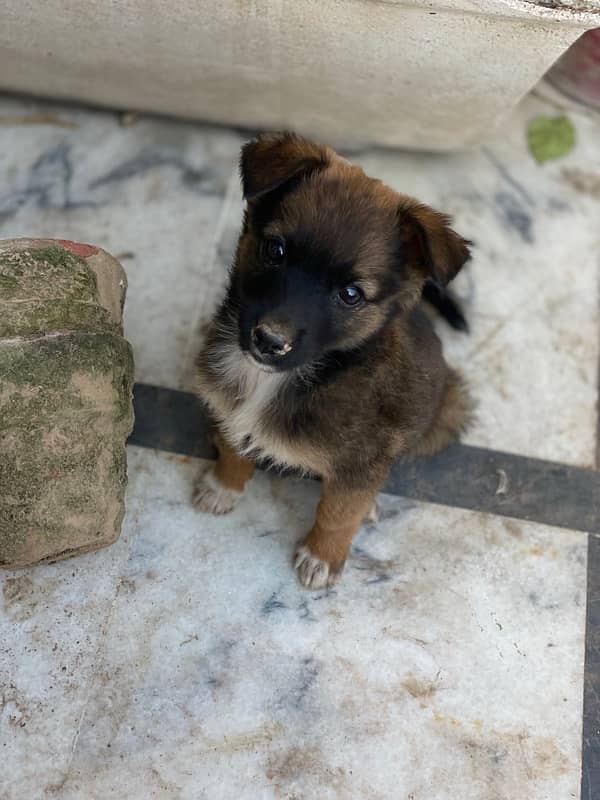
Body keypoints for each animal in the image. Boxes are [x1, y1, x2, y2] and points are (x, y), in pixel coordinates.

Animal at [195, 133, 472, 588]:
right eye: (275, 250)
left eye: (351, 294)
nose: (269, 341)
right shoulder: (230, 405)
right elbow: (236, 447)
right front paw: (223, 486)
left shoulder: (362, 460)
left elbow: (339, 511)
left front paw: (322, 556)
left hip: (445, 411)